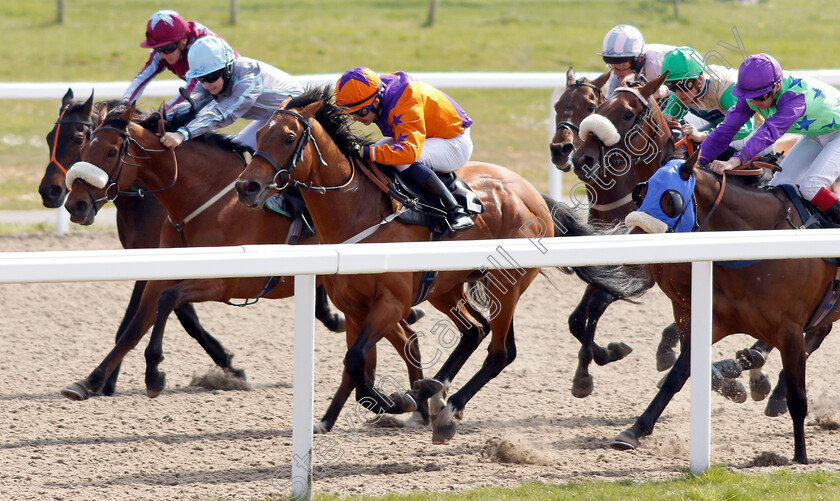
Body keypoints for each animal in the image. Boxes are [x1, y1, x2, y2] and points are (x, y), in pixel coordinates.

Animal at [38, 89, 270, 394]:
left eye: (78, 138)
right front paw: (228, 365)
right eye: (48, 137)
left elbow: (148, 318)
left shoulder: (157, 258)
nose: (49, 191)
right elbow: (180, 315)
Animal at [60, 103, 426, 436]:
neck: (203, 199)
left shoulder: (226, 282)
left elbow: (168, 301)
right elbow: (136, 325)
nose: (74, 204)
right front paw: (89, 381)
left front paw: (154, 374)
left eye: (110, 151)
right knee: (401, 336)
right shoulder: (162, 271)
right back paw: (411, 402)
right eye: (85, 147)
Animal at [233, 86, 648, 442]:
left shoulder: (392, 303)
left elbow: (357, 359)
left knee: (500, 352)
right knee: (474, 331)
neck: (357, 213)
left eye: (289, 138)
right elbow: (356, 365)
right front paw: (330, 418)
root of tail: (533, 195)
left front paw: (391, 402)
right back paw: (430, 390)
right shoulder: (352, 307)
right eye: (259, 135)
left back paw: (445, 408)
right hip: (445, 287)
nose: (245, 187)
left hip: (506, 285)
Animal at [616, 150, 840, 462]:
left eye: (670, 201)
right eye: (641, 193)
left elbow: (799, 397)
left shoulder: (790, 331)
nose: (632, 249)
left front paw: (800, 457)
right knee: (819, 333)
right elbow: (678, 375)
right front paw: (634, 431)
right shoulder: (714, 319)